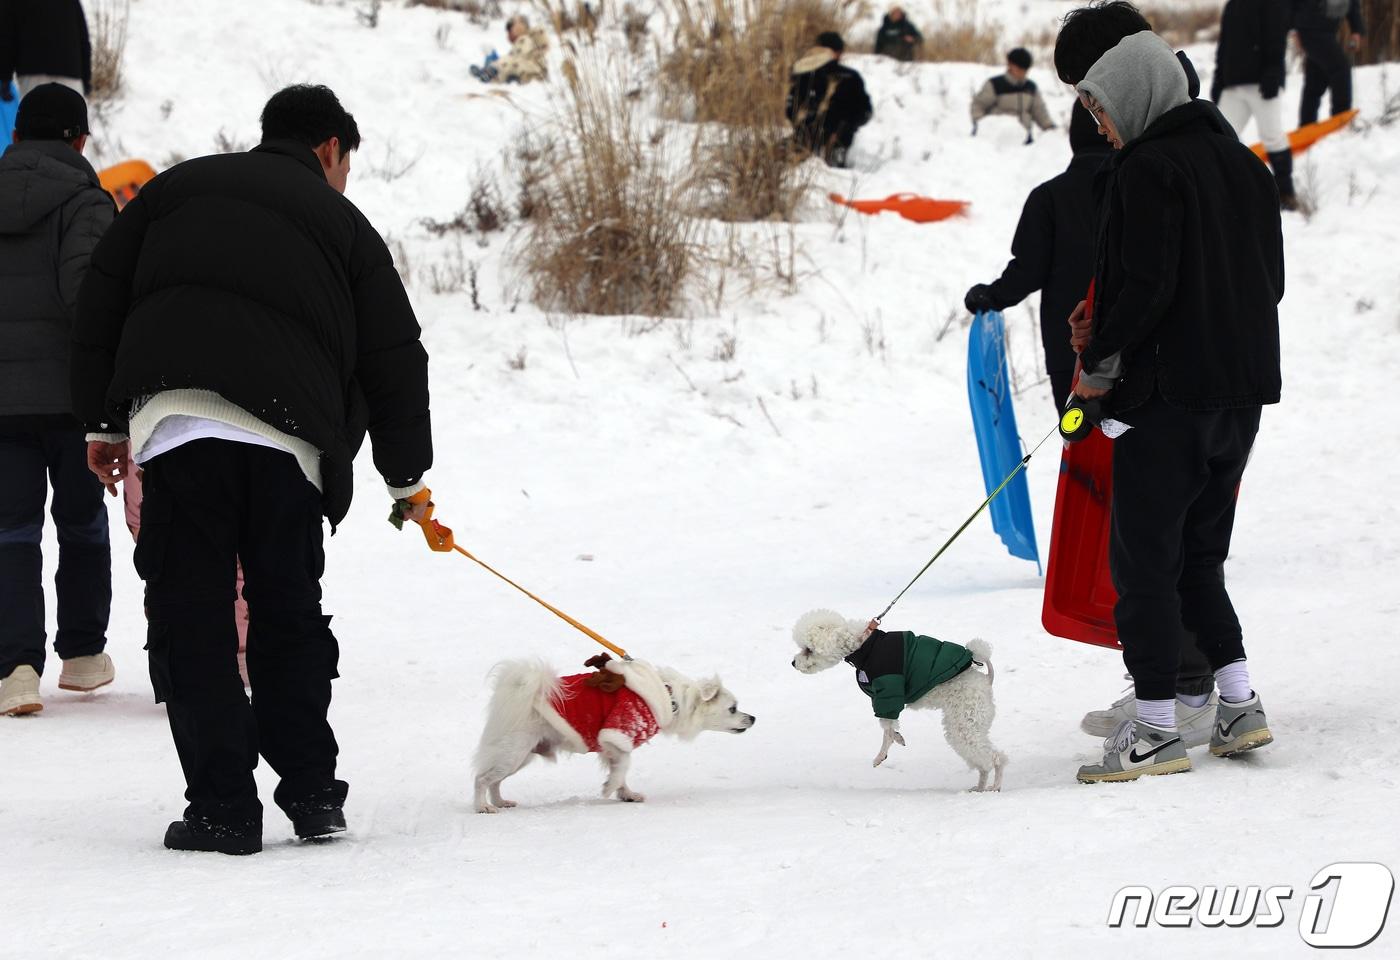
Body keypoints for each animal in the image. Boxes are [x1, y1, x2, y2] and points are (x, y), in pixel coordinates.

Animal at [470, 654, 756, 811]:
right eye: (733, 708)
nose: (753, 718)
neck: (670, 698)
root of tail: (521, 694)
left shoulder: (613, 747)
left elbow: (621, 770)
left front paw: (626, 794)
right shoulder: (617, 733)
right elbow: (624, 766)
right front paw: (610, 788)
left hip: (522, 755)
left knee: (494, 780)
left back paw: (500, 802)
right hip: (514, 752)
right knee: (482, 779)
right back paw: (483, 806)